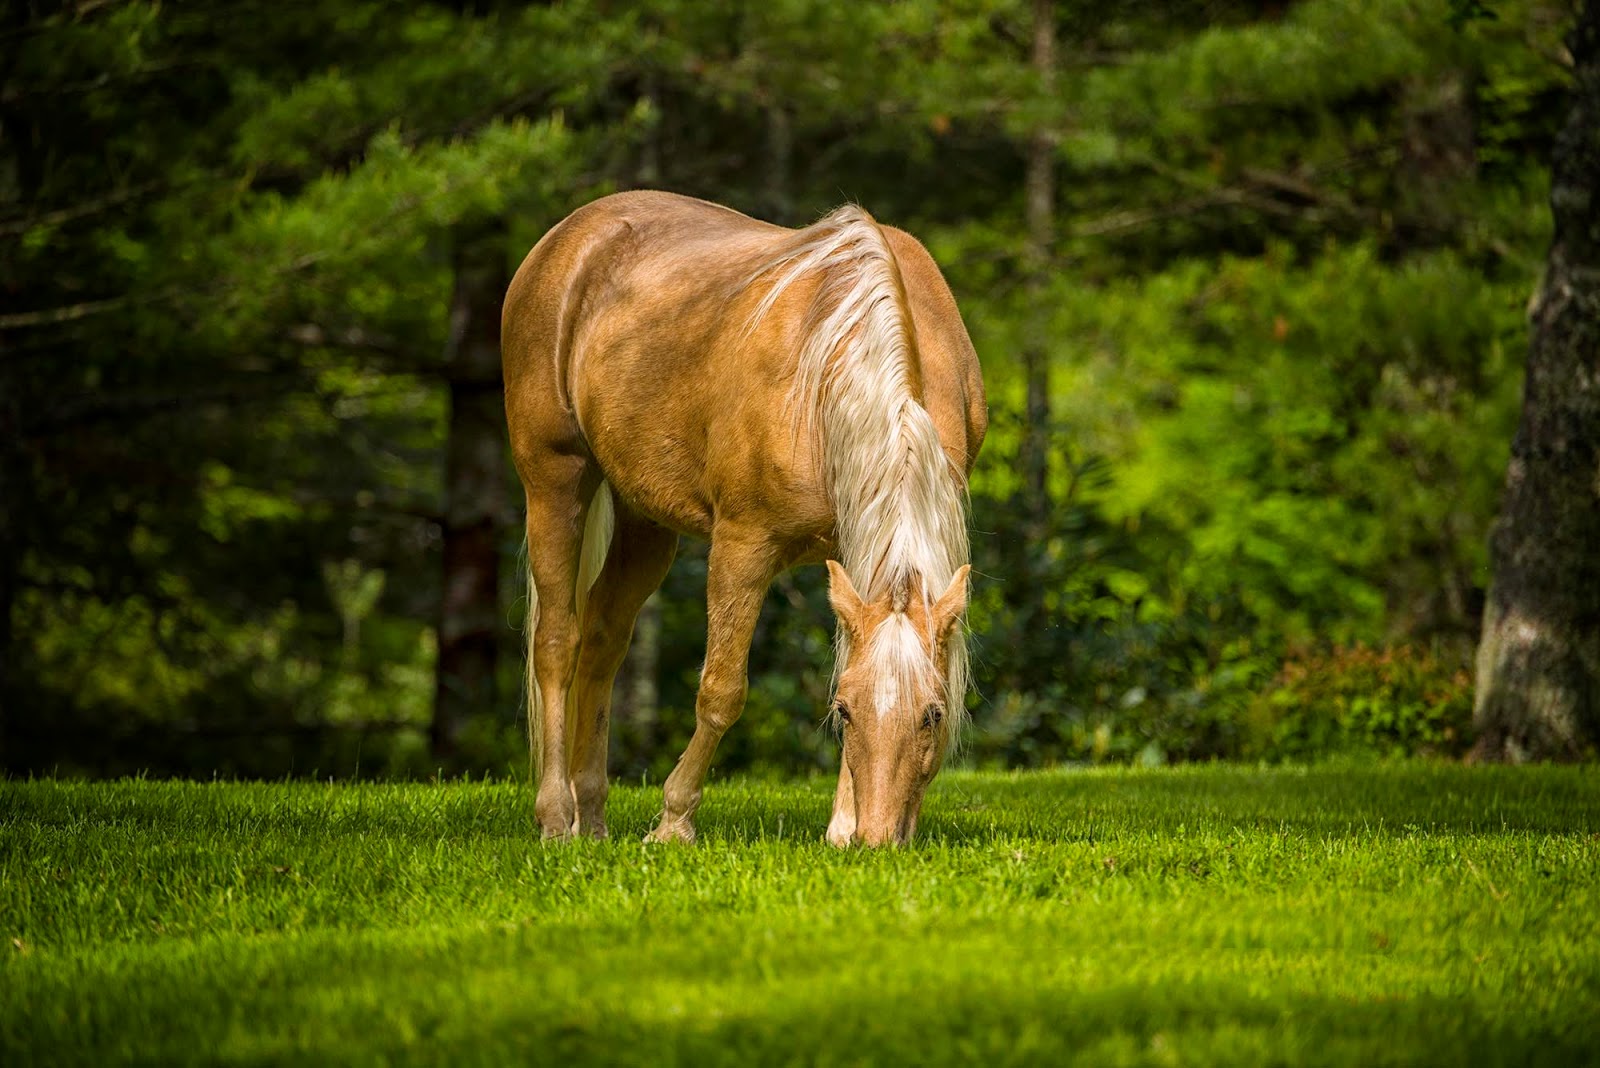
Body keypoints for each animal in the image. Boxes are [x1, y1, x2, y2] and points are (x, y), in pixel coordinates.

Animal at [501, 190, 986, 846]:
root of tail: (570, 235)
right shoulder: (742, 546)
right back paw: (556, 818)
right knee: (557, 642)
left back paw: (593, 818)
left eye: (934, 714)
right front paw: (674, 823)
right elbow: (721, 689)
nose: (877, 839)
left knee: (601, 642)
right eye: (846, 712)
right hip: (554, 482)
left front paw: (839, 828)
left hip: (644, 520)